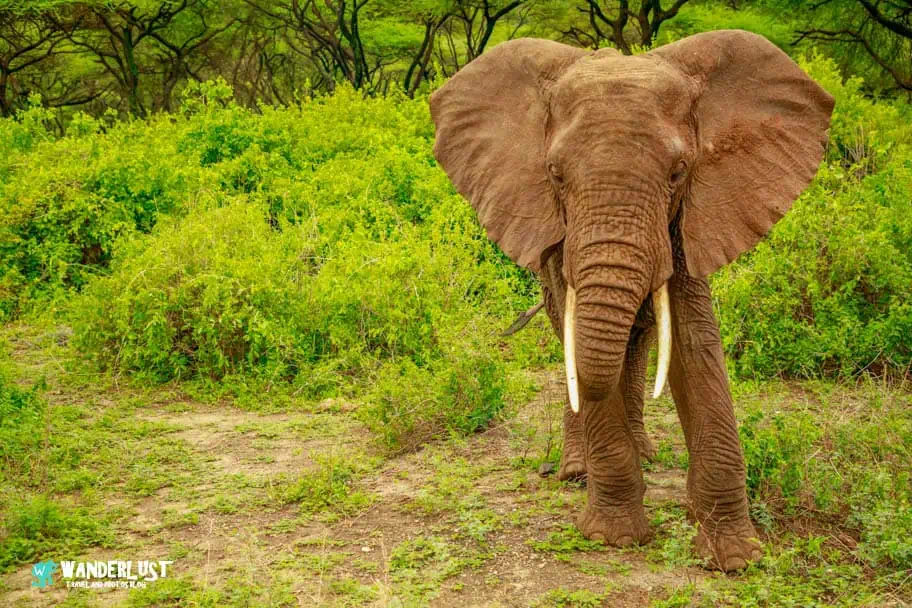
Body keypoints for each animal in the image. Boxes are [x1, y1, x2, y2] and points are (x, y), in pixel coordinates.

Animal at [429, 30, 833, 571]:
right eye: (555, 175)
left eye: (679, 172)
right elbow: (587, 351)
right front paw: (613, 538)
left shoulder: (691, 219)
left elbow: (693, 344)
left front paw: (734, 557)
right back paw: (576, 472)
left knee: (637, 344)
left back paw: (644, 454)